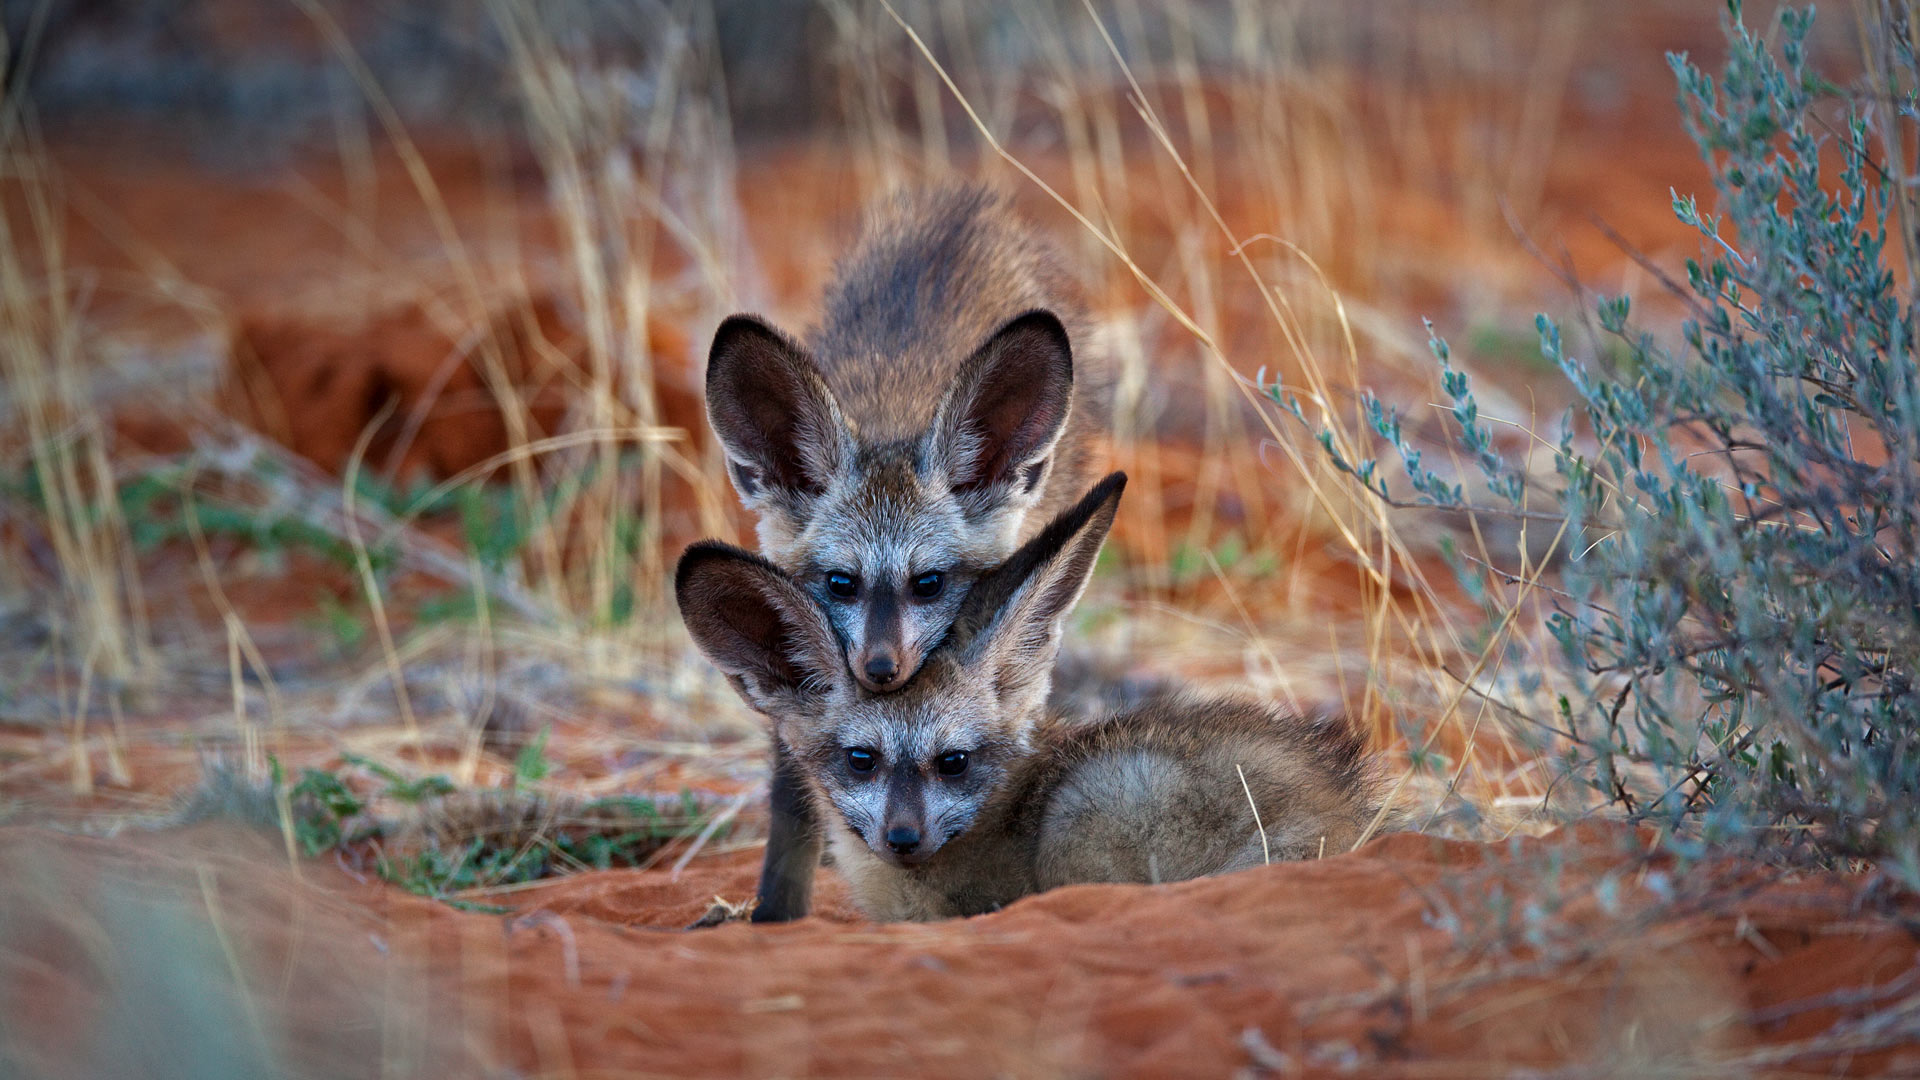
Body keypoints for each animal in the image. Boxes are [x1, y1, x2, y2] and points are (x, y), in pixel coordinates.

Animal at [706, 184, 1113, 914]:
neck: (894, 417)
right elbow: (793, 792)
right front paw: (777, 914)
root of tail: (960, 211)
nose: (880, 669)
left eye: (929, 583)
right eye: (840, 582)